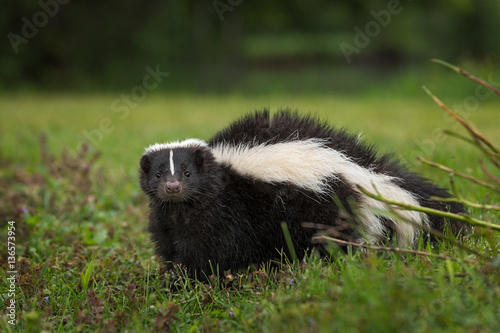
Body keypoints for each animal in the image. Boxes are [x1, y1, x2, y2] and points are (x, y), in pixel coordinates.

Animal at [139, 109, 466, 278]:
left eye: (187, 173)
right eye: (158, 175)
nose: (172, 188)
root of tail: (363, 170)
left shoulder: (225, 211)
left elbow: (211, 249)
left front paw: (190, 279)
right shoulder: (168, 217)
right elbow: (170, 244)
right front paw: (172, 275)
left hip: (324, 205)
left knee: (332, 241)